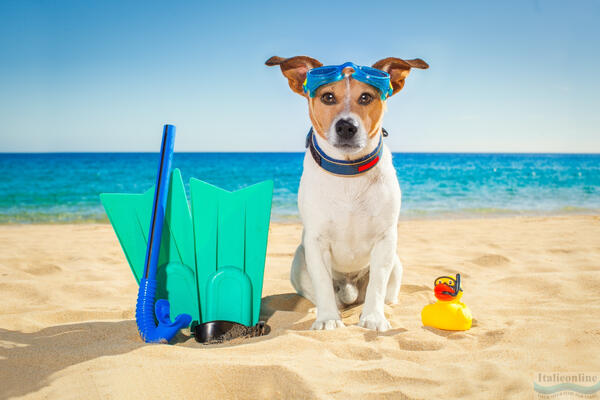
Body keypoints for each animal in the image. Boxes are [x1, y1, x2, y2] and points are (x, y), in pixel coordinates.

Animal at [266, 55, 426, 332]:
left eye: (366, 97)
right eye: (328, 97)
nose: (346, 127)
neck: (349, 172)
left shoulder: (385, 240)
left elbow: (377, 285)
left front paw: (373, 317)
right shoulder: (316, 242)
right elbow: (322, 283)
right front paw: (328, 318)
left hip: (396, 264)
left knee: (386, 292)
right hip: (298, 262)